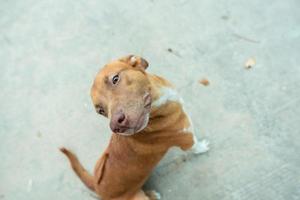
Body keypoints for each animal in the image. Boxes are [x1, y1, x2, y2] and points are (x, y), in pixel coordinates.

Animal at [60, 55, 209, 200]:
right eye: (101, 110)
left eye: (115, 79)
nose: (115, 126)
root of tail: (98, 188)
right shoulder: (186, 139)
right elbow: (195, 146)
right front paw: (203, 147)